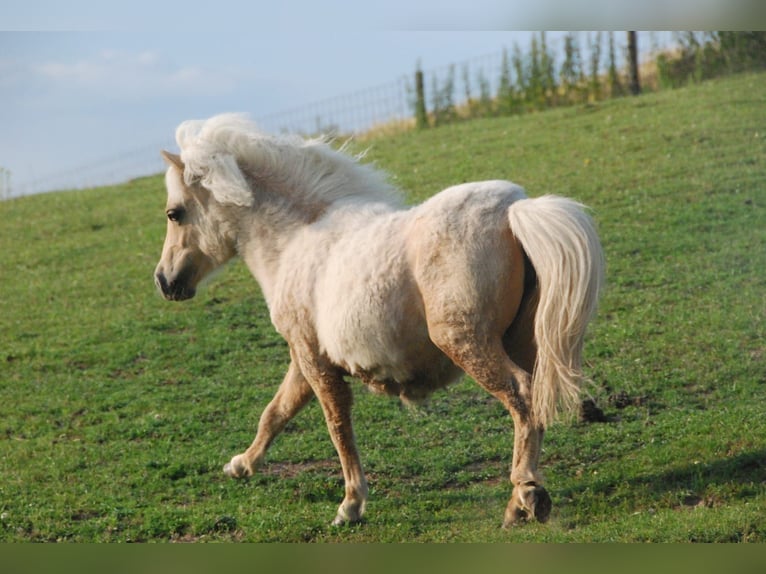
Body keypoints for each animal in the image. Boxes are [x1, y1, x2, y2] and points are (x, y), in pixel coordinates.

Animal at [153, 113, 604, 527]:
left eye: (174, 214)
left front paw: (350, 505)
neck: (294, 239)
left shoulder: (312, 359)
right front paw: (241, 465)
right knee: (536, 401)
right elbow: (276, 412)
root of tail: (514, 209)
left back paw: (525, 496)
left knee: (523, 397)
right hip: (521, 340)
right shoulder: (304, 356)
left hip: (468, 343)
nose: (164, 281)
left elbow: (336, 425)